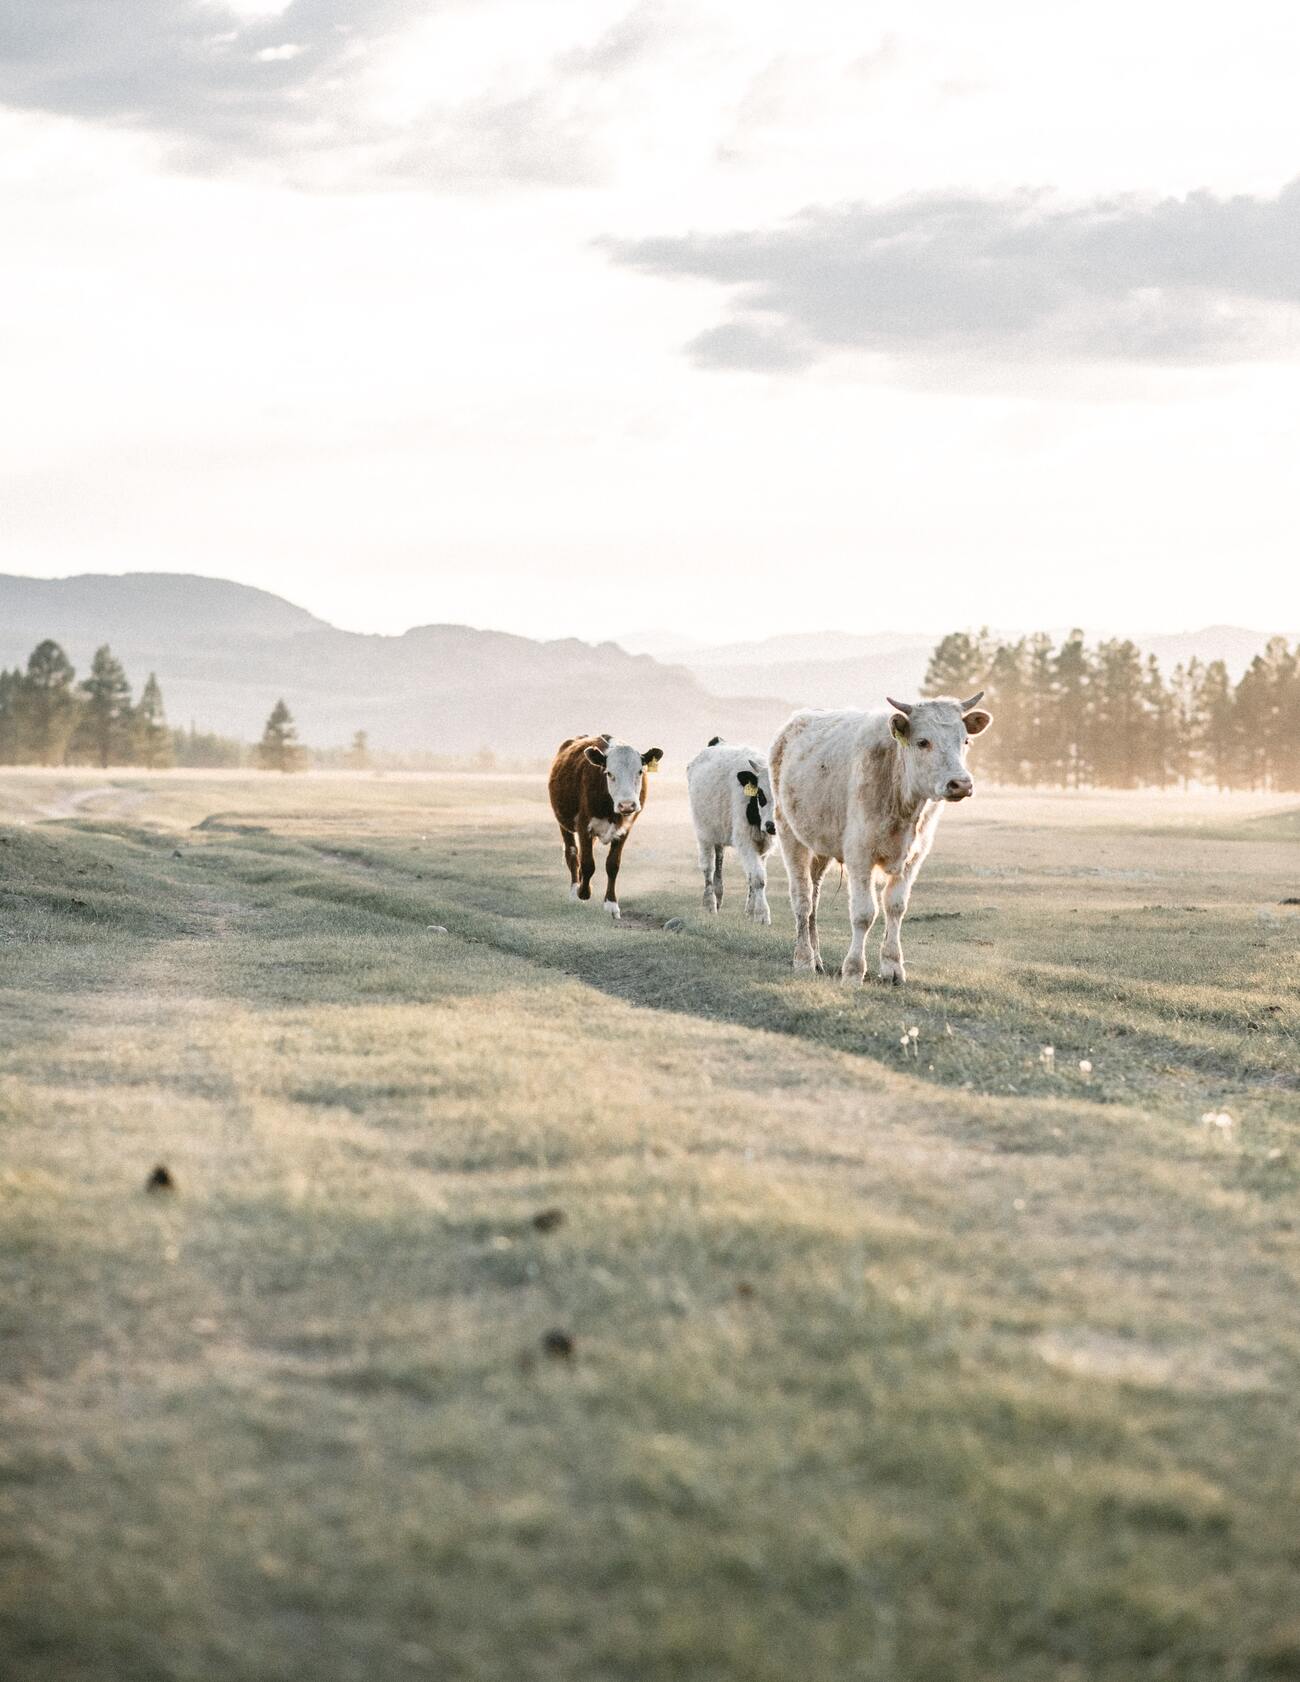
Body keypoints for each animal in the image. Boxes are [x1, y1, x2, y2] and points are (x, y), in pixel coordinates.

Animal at [551, 736, 669, 921]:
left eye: (640, 772)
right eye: (609, 773)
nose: (627, 805)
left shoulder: (624, 830)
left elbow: (613, 865)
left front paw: (611, 904)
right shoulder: (584, 826)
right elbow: (588, 863)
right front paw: (583, 893)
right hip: (564, 823)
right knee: (572, 853)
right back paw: (575, 890)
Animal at [686, 736, 776, 921]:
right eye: (761, 794)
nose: (772, 825)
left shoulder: (763, 844)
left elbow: (753, 876)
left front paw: (750, 911)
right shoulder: (745, 840)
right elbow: (758, 878)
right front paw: (762, 914)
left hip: (718, 832)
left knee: (719, 861)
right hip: (704, 833)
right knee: (708, 868)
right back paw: (710, 904)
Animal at [770, 692, 995, 982]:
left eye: (965, 740)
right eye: (923, 742)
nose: (961, 784)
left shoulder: (913, 858)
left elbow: (895, 907)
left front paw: (892, 966)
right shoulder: (859, 855)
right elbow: (864, 913)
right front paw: (854, 970)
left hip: (820, 845)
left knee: (815, 896)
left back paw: (817, 959)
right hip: (790, 834)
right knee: (803, 898)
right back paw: (803, 959)